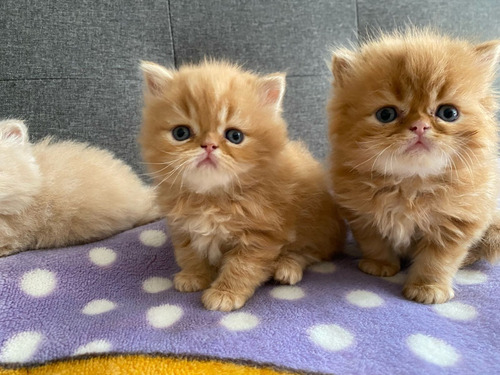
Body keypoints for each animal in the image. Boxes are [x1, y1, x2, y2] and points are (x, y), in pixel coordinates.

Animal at [139, 60, 346, 312]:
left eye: (234, 136)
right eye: (181, 133)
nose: (208, 145)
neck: (212, 198)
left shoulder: (261, 235)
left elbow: (242, 267)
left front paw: (224, 294)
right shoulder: (182, 227)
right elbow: (190, 253)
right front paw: (193, 276)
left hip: (317, 227)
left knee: (309, 253)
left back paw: (286, 267)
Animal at [328, 30, 500, 306]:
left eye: (448, 113)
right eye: (386, 115)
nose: (419, 126)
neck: (410, 184)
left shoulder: (458, 222)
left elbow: (437, 261)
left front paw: (427, 288)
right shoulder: (360, 213)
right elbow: (374, 242)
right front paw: (380, 266)